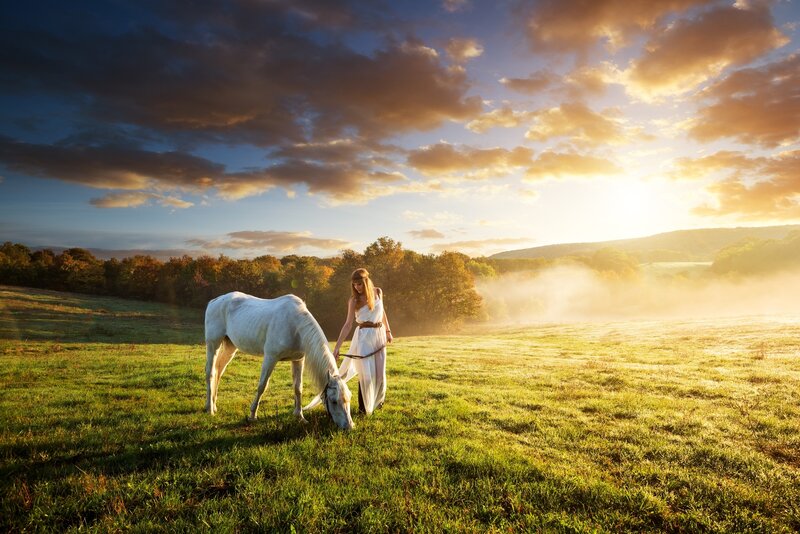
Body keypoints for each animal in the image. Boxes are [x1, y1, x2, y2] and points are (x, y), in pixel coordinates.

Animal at [204, 291, 354, 430]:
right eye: (333, 401)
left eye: (349, 397)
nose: (349, 426)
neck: (294, 325)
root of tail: (214, 301)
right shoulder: (270, 357)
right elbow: (262, 386)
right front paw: (252, 415)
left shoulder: (298, 360)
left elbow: (298, 388)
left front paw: (300, 416)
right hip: (213, 344)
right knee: (210, 372)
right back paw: (210, 409)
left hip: (230, 346)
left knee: (219, 371)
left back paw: (213, 405)